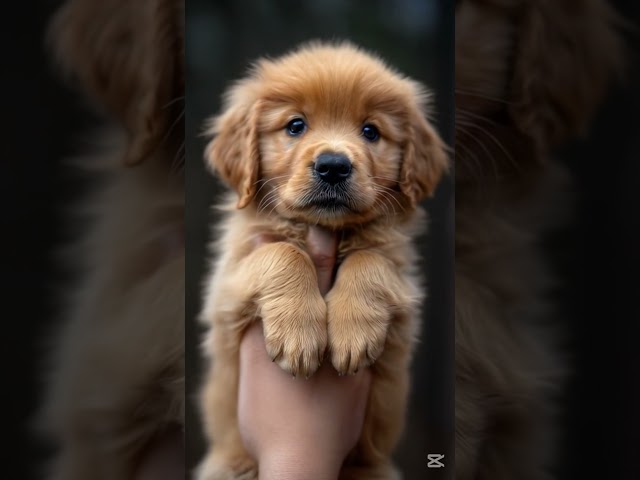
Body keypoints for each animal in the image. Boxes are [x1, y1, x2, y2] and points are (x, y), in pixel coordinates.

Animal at [198, 42, 448, 480]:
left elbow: (370, 259)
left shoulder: (402, 281)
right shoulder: (226, 285)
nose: (333, 166)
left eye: (371, 131)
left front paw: (352, 334)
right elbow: (281, 251)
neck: (324, 228)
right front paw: (299, 334)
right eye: (295, 126)